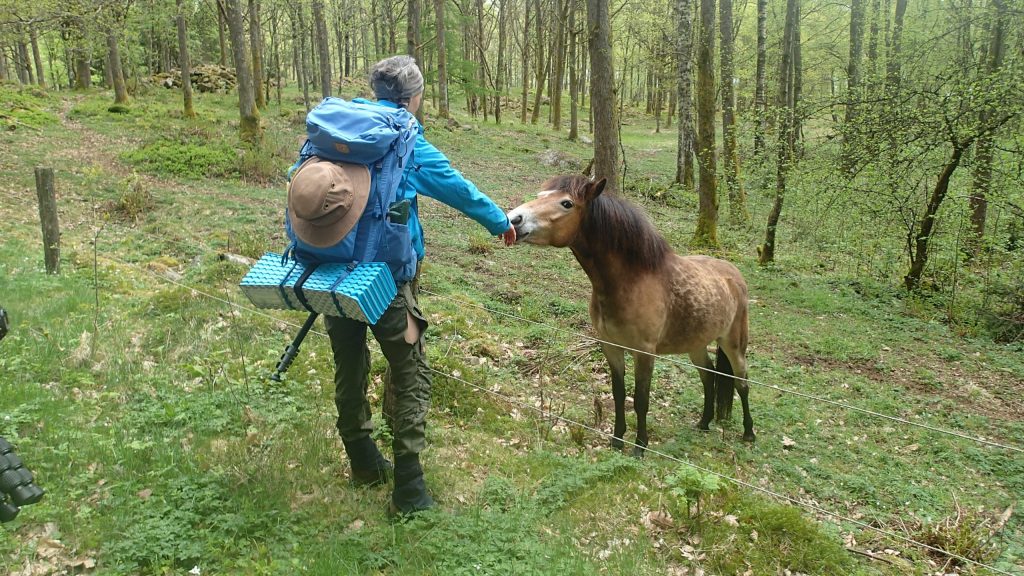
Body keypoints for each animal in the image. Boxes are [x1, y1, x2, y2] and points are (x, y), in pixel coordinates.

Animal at [509, 175, 757, 453]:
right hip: (696, 344)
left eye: (566, 203)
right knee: (709, 376)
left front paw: (640, 445)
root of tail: (735, 275)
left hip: (734, 344)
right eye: (541, 195)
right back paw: (704, 423)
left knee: (742, 382)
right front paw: (617, 439)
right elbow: (619, 394)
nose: (514, 219)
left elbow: (641, 399)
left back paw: (749, 433)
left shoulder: (644, 353)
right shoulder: (611, 347)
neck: (632, 280)